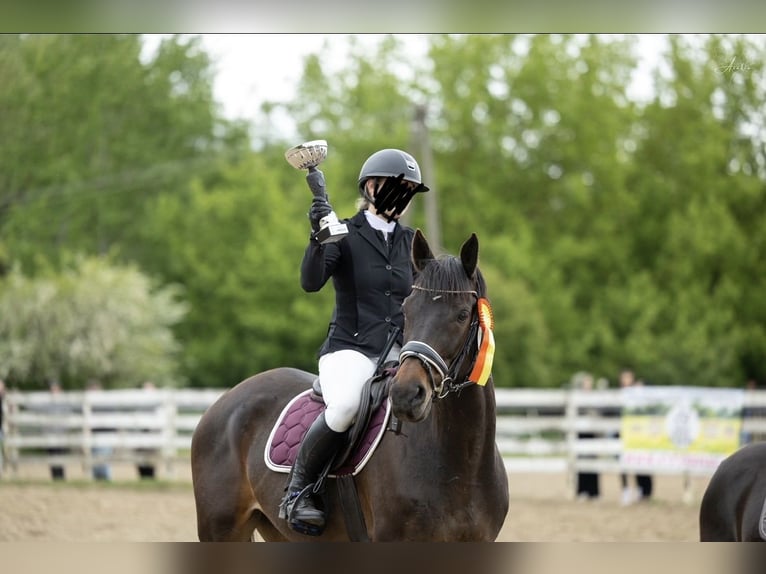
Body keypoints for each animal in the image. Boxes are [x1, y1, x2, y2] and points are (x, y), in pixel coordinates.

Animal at [190, 229, 510, 541]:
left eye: (461, 314)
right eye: (407, 310)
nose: (406, 394)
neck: (462, 464)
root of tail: (224, 401)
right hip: (220, 529)